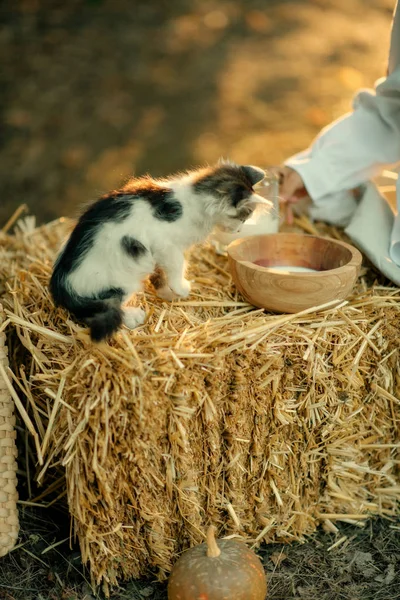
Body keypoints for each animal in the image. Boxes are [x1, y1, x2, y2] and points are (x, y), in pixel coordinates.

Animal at [50, 161, 268, 342]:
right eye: (244, 217)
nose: (238, 231)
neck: (193, 203)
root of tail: (61, 287)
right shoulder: (165, 244)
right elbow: (178, 264)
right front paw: (181, 287)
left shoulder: (156, 253)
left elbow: (160, 273)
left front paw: (167, 292)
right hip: (123, 276)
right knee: (105, 308)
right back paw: (132, 316)